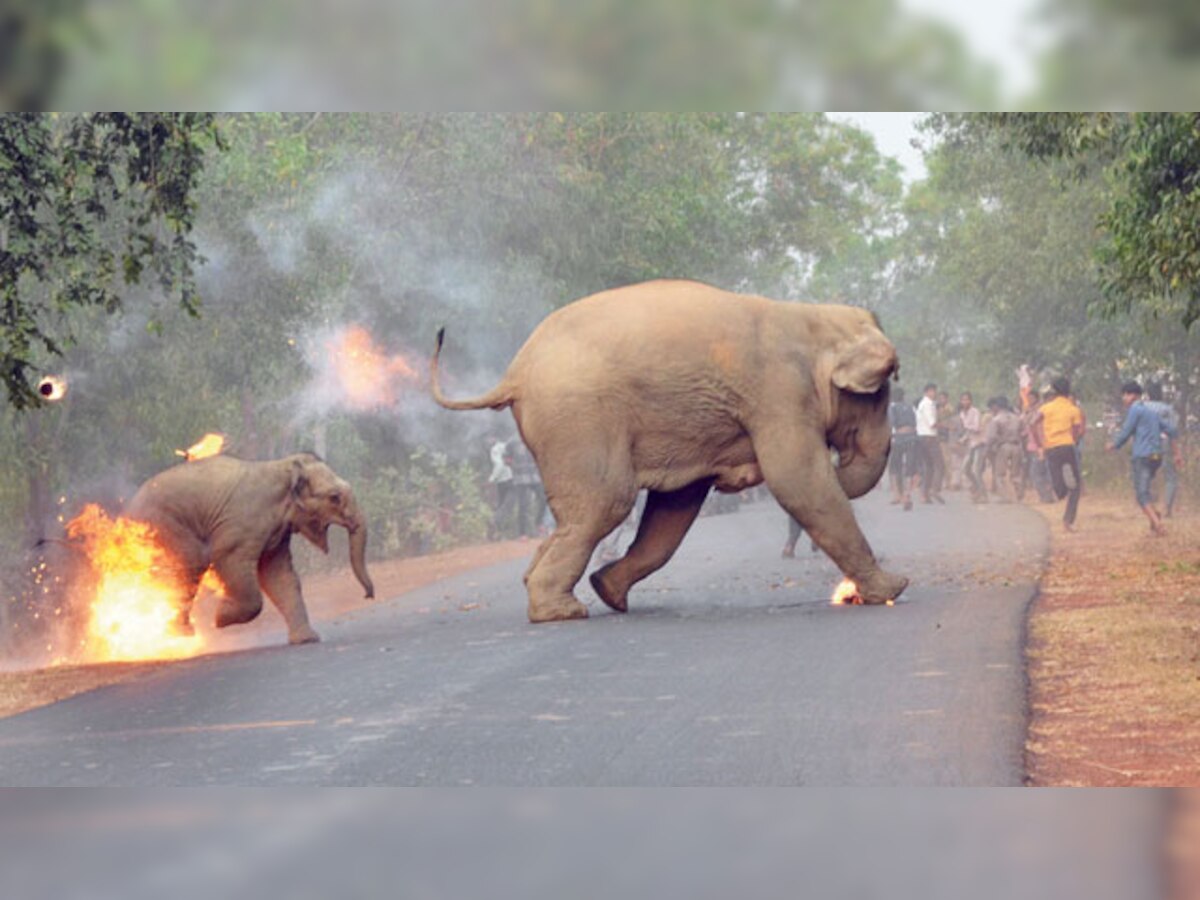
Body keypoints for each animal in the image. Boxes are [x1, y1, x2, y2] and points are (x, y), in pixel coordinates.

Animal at [124, 453, 372, 643]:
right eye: (334, 497)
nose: (367, 596)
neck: (283, 466)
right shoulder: (241, 525)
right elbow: (229, 560)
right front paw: (220, 618)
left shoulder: (277, 534)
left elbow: (279, 575)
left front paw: (307, 640)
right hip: (164, 527)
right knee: (189, 566)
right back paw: (179, 635)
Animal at [427, 278, 902, 624]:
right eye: (881, 393)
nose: (840, 459)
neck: (813, 316)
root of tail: (515, 372)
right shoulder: (780, 393)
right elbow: (799, 481)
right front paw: (893, 589)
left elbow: (675, 507)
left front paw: (608, 589)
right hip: (579, 418)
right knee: (606, 503)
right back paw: (560, 613)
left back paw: (572, 594)